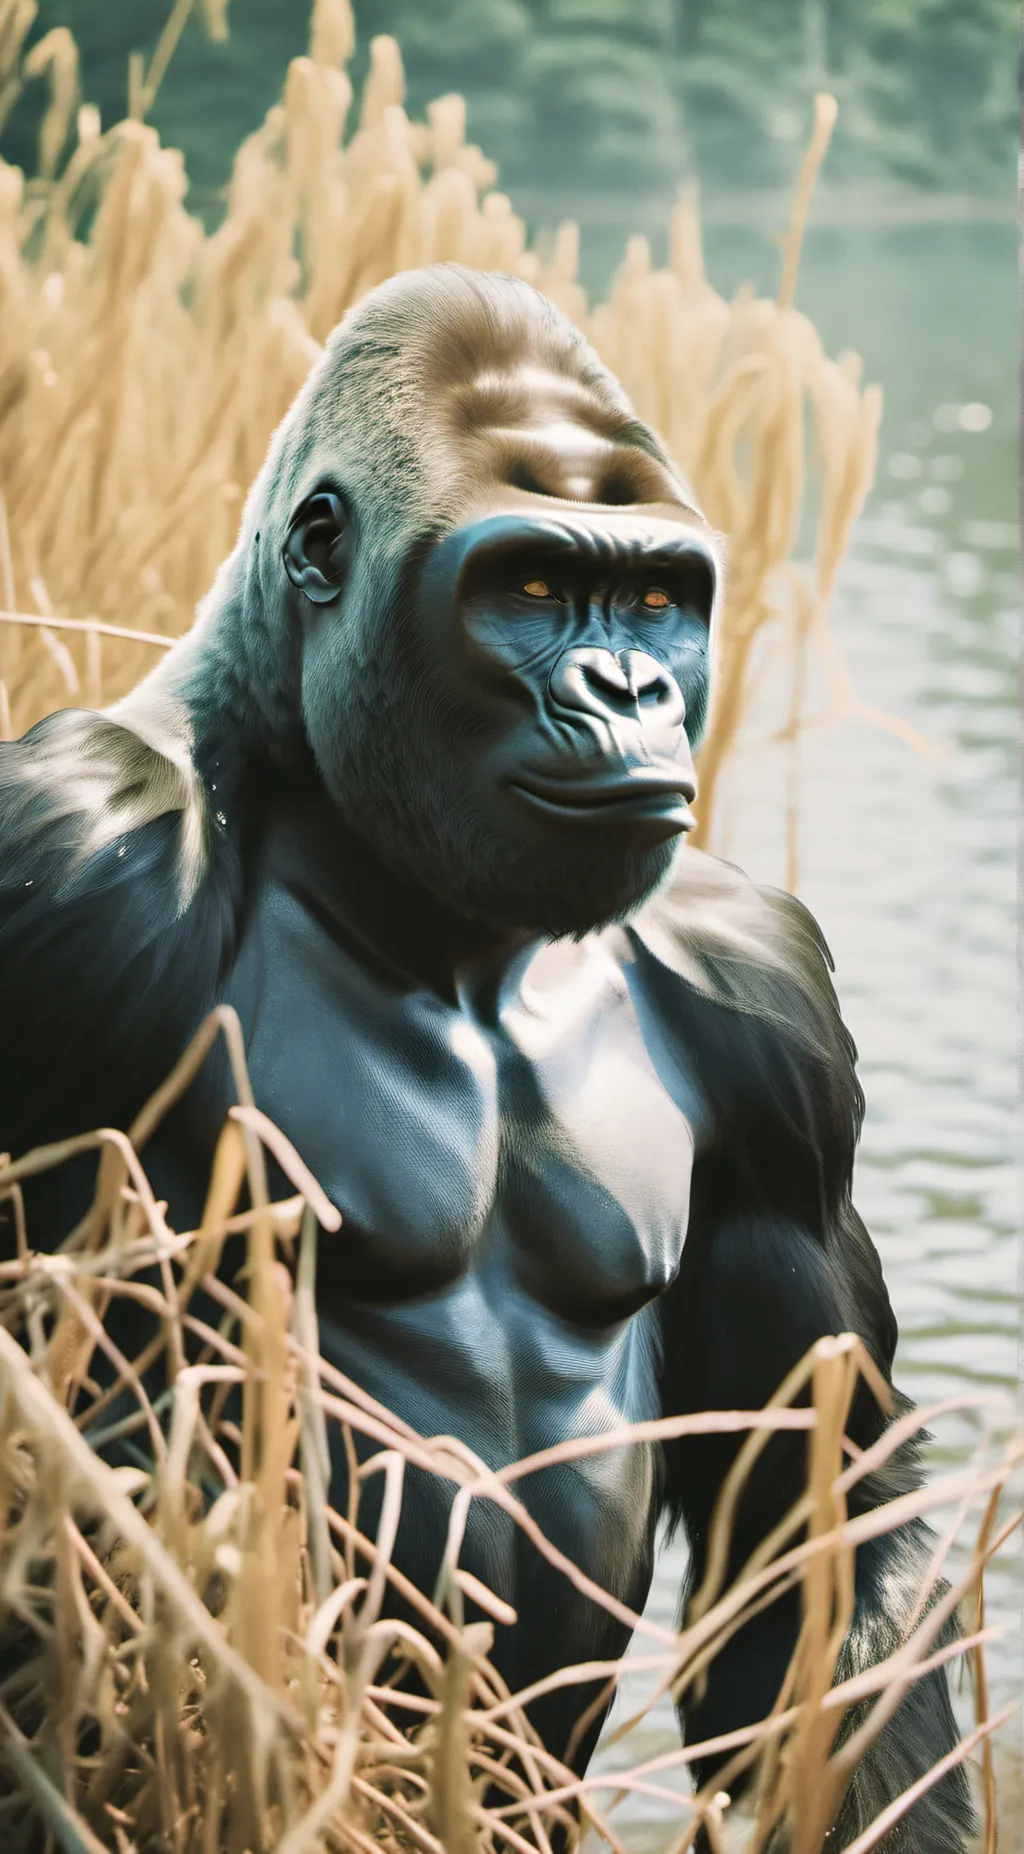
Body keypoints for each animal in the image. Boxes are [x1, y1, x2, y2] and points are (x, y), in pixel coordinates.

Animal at [0, 266, 973, 1849]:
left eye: (655, 596)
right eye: (525, 587)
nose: (630, 685)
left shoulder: (769, 998)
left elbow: (824, 1509)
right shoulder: (71, 863)